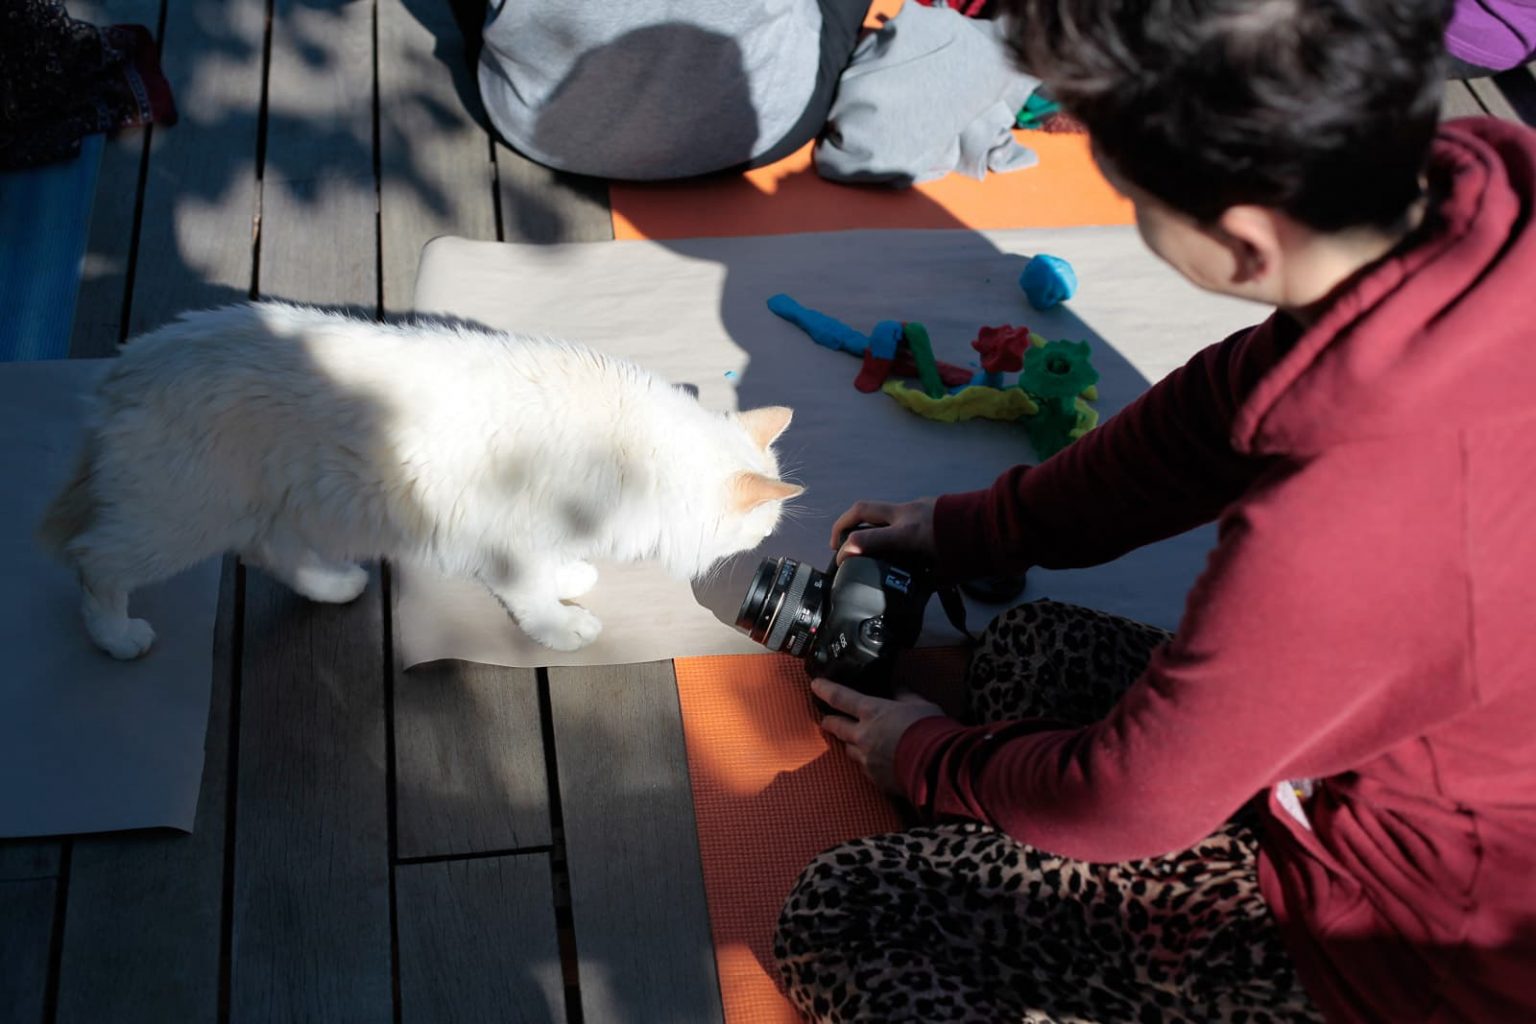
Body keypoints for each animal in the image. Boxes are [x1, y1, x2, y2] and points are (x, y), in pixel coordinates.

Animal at [38, 301, 803, 659]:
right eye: (761, 531)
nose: (759, 553)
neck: (637, 457)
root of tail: (126, 365)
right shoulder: (511, 546)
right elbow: (535, 601)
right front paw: (564, 625)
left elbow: (558, 565)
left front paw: (574, 575)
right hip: (177, 516)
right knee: (93, 562)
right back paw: (117, 636)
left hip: (270, 505)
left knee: (269, 553)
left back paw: (336, 585)